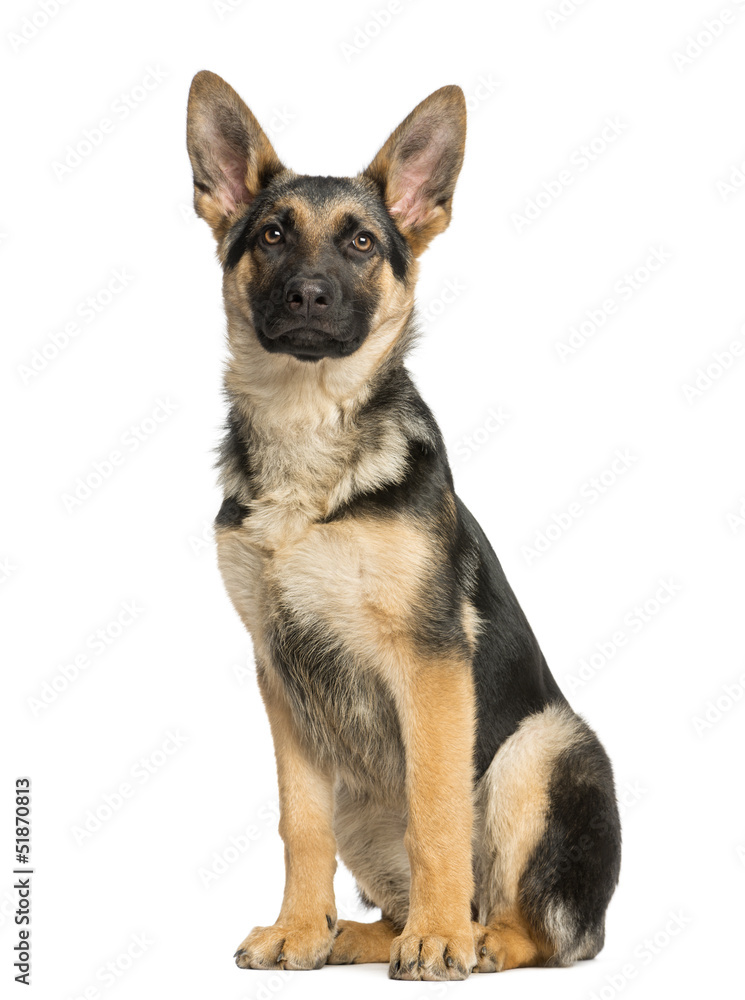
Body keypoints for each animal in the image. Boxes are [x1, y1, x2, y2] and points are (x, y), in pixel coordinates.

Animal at [187, 72, 620, 984]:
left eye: (359, 242)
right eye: (272, 234)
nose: (308, 297)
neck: (309, 436)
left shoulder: (429, 662)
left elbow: (435, 809)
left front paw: (440, 940)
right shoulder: (279, 673)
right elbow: (299, 822)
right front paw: (299, 928)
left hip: (540, 746)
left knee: (533, 925)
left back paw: (474, 937)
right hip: (359, 794)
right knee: (386, 896)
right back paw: (351, 935)